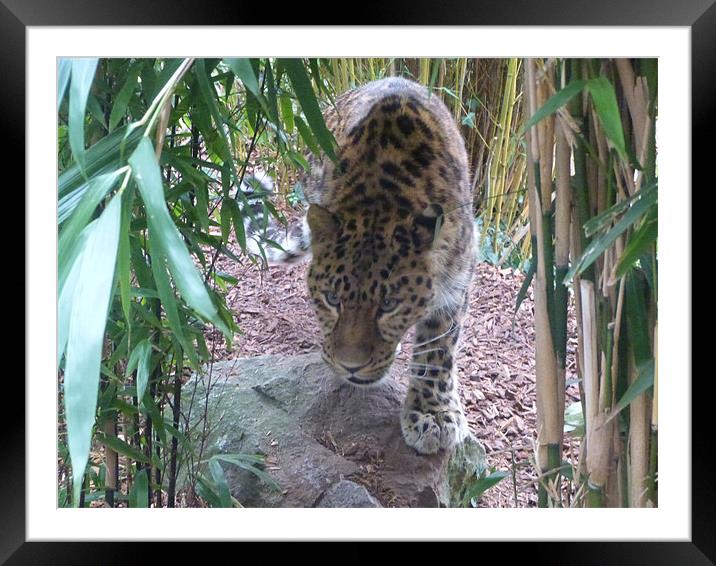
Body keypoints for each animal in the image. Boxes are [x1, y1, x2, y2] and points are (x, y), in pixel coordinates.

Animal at [258, 76, 476, 458]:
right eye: (332, 299)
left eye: (389, 305)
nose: (351, 367)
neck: (382, 202)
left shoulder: (458, 277)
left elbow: (438, 348)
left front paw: (432, 414)